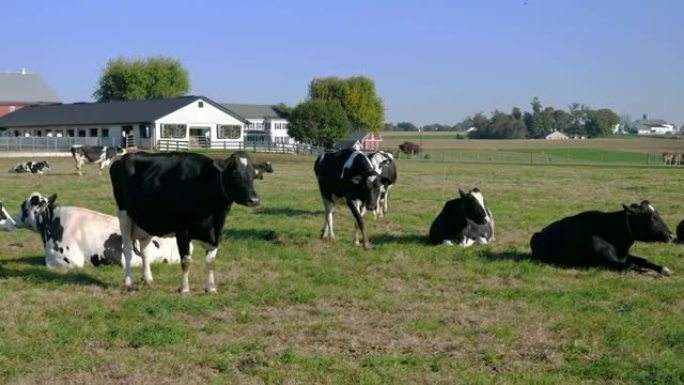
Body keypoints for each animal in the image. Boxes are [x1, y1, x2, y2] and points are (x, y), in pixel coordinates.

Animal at [109, 149, 260, 292]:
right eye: (235, 172)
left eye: (253, 174)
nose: (254, 200)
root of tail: (124, 158)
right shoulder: (182, 229)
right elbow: (186, 260)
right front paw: (184, 288)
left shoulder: (217, 230)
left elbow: (210, 260)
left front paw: (211, 287)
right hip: (123, 214)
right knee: (127, 250)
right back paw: (129, 283)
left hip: (146, 220)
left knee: (145, 250)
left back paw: (148, 280)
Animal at [528, 200, 672, 274]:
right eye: (651, 218)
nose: (670, 235)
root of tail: (539, 233)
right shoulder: (609, 262)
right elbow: (633, 266)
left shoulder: (624, 256)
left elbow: (644, 261)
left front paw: (664, 269)